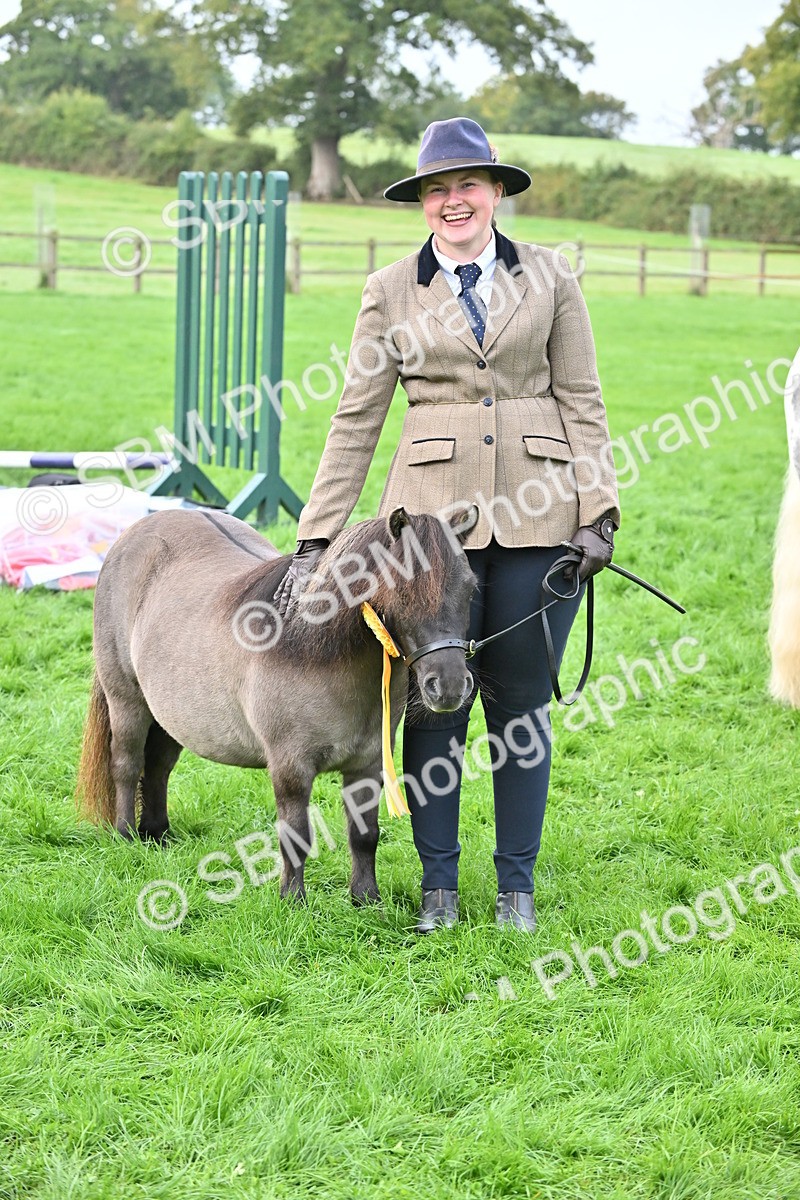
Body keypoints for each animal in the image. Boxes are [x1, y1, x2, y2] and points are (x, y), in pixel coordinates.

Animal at [76, 504, 478, 903]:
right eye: (404, 591)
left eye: (470, 588)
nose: (448, 687)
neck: (317, 651)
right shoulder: (290, 766)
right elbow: (295, 835)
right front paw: (292, 900)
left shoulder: (367, 764)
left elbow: (364, 835)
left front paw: (366, 899)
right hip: (127, 701)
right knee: (126, 764)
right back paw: (127, 836)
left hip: (168, 716)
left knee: (158, 767)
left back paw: (157, 834)